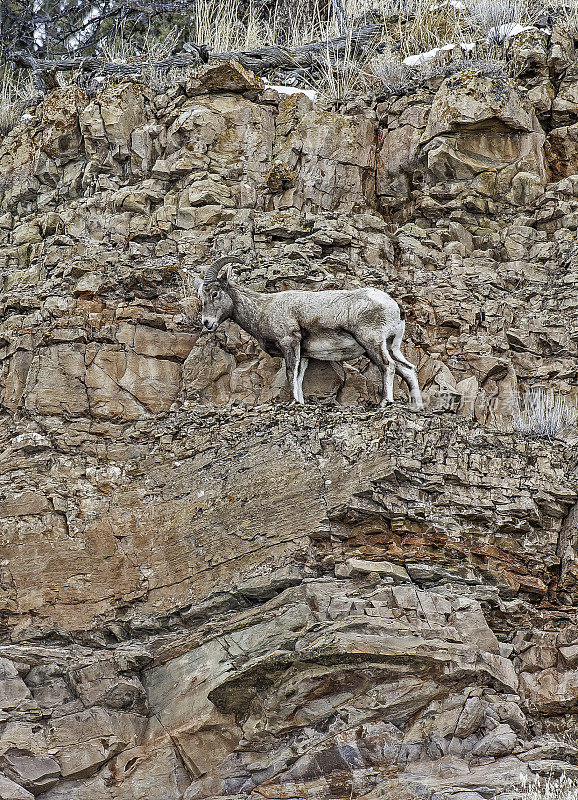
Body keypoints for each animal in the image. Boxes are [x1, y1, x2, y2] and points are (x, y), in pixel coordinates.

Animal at [191, 256, 420, 410]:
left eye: (215, 293)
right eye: (201, 297)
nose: (207, 323)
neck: (263, 309)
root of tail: (395, 307)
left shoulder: (289, 343)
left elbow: (291, 373)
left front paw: (294, 401)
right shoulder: (304, 354)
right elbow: (299, 377)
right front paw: (300, 401)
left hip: (371, 342)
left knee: (388, 366)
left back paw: (384, 403)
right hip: (391, 346)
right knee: (407, 369)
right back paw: (417, 406)